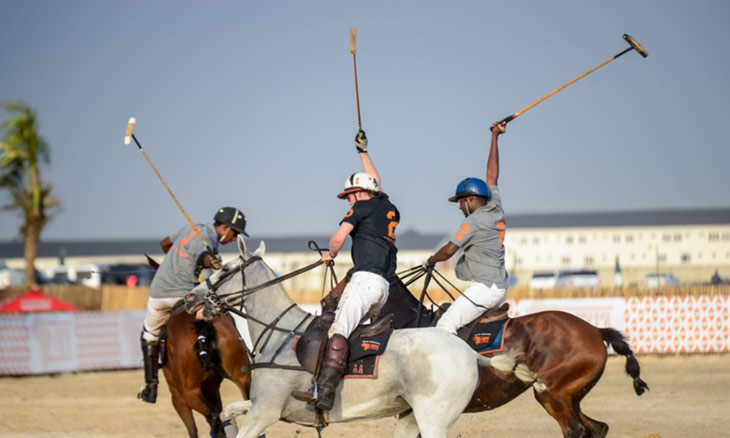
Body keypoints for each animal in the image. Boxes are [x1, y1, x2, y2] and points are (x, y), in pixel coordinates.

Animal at [161, 304, 252, 438]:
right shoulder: (212, 390)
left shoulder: (178, 398)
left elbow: (193, 430)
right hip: (243, 378)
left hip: (188, 392)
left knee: (213, 417)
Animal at [195, 236, 516, 438]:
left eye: (224, 268)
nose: (193, 298)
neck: (280, 332)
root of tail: (469, 352)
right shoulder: (264, 406)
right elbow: (227, 411)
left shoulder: (266, 410)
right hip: (411, 417)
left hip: (433, 418)